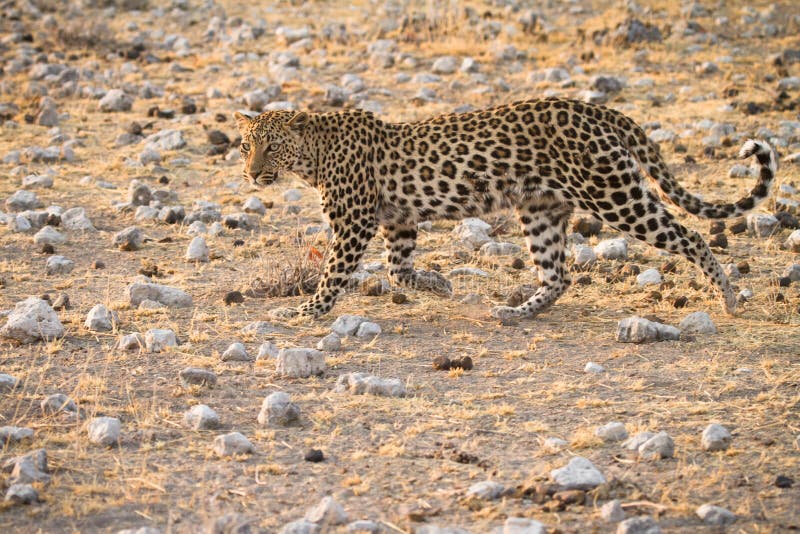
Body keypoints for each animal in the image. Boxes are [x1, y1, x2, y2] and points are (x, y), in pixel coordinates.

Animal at [233, 97, 776, 320]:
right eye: (245, 145)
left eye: (271, 147)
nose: (253, 174)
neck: (315, 156)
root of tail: (602, 111)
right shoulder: (398, 222)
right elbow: (399, 269)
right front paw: (441, 285)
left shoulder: (353, 224)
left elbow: (332, 274)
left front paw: (306, 310)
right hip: (540, 209)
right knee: (557, 275)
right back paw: (515, 312)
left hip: (615, 195)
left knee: (692, 236)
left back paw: (727, 296)